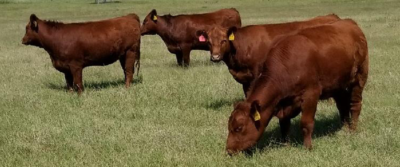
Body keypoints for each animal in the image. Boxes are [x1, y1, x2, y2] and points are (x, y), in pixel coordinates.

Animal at [225, 18, 368, 155]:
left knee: (355, 105)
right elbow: (284, 125)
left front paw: (308, 147)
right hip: (338, 85)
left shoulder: (311, 94)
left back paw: (353, 130)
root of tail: (350, 23)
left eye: (239, 128)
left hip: (359, 78)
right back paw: (344, 128)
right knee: (342, 106)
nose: (229, 150)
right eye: (229, 126)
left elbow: (306, 123)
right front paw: (285, 145)